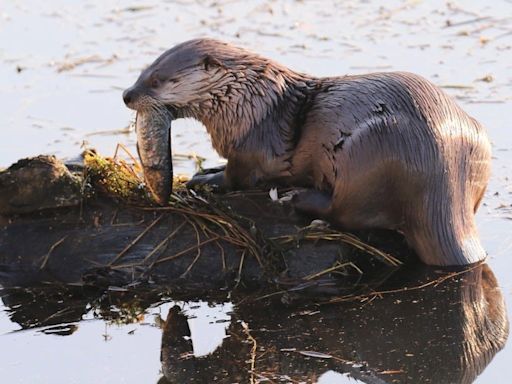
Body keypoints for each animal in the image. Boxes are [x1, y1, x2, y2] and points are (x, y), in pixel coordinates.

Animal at [123, 39, 492, 268]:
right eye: (143, 71)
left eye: (157, 80)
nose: (127, 94)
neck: (248, 103)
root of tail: (443, 179)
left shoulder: (252, 146)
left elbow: (238, 176)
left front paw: (207, 179)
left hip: (371, 151)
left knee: (346, 213)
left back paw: (300, 198)